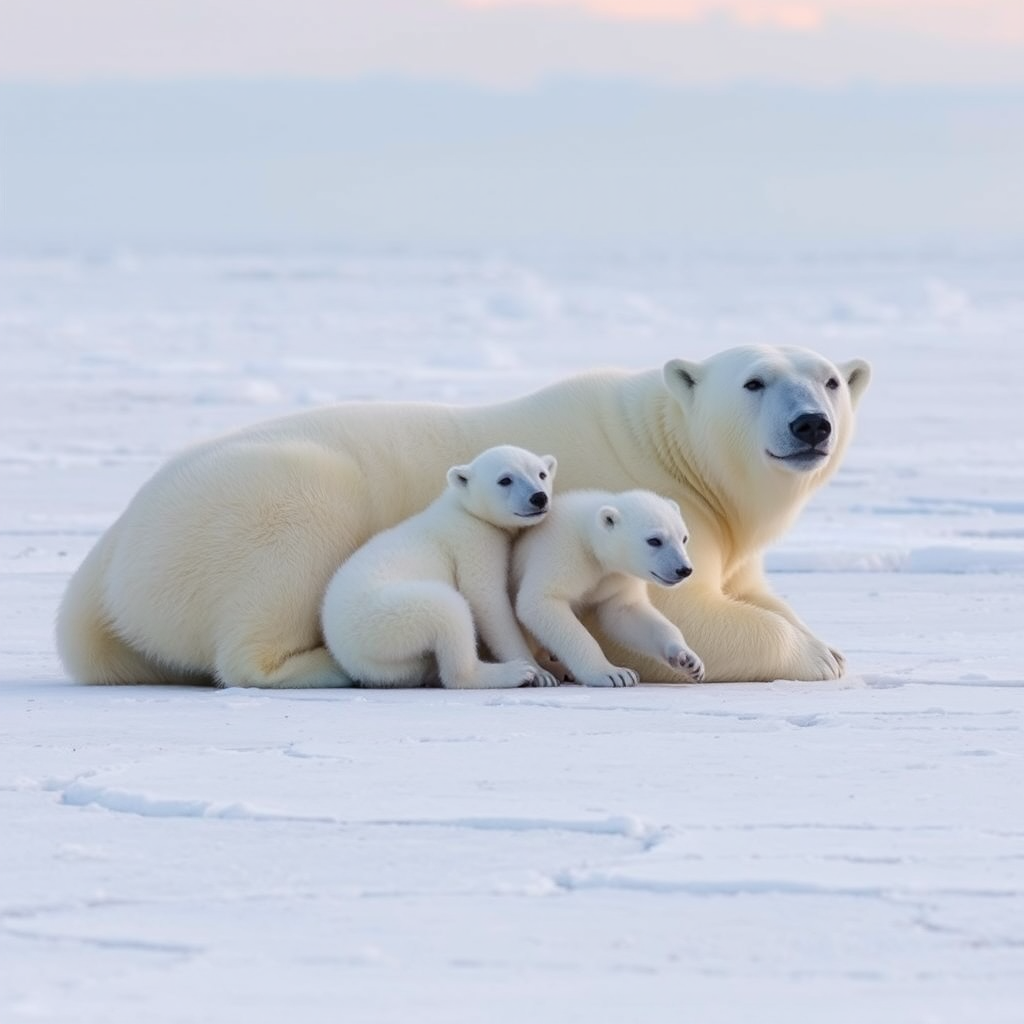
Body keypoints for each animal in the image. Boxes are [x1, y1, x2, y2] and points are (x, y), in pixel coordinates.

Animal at [320, 445, 558, 690]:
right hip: (380, 618)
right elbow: (485, 597)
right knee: (447, 610)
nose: (539, 497)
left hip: (389, 663)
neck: (462, 506)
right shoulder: (474, 538)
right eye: (505, 479)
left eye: (541, 474)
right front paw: (540, 672)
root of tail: (342, 650)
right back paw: (511, 672)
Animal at [513, 489, 705, 688]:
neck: (588, 536)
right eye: (654, 540)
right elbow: (541, 601)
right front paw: (615, 674)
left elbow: (626, 612)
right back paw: (544, 674)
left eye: (684, 538)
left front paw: (689, 660)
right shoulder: (560, 552)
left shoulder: (618, 577)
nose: (684, 569)